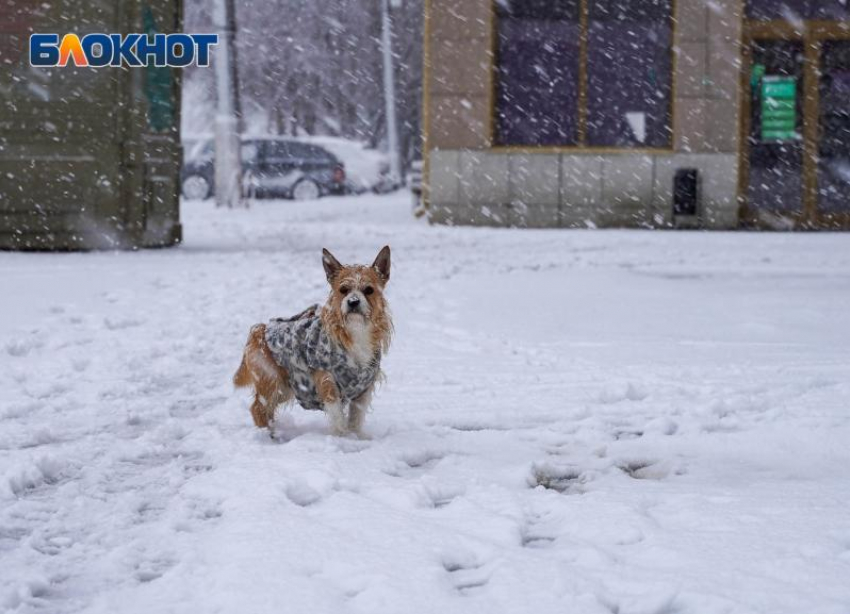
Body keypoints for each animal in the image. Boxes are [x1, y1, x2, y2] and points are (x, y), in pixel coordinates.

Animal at [232, 247, 390, 438]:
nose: (353, 302)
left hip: (286, 387)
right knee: (257, 409)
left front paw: (357, 437)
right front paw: (341, 437)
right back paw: (270, 436)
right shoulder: (327, 381)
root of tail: (259, 330)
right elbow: (337, 413)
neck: (356, 331)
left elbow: (356, 416)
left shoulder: (364, 388)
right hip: (272, 380)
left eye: (369, 290)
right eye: (343, 289)